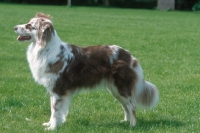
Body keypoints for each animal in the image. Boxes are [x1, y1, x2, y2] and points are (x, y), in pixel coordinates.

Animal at [13, 13, 159, 130]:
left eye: (29, 26)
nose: (14, 27)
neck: (46, 49)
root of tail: (129, 55)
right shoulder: (52, 89)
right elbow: (52, 110)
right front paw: (50, 124)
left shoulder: (58, 89)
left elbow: (55, 111)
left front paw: (52, 128)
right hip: (114, 89)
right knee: (126, 106)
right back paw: (125, 121)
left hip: (121, 86)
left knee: (132, 106)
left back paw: (133, 125)